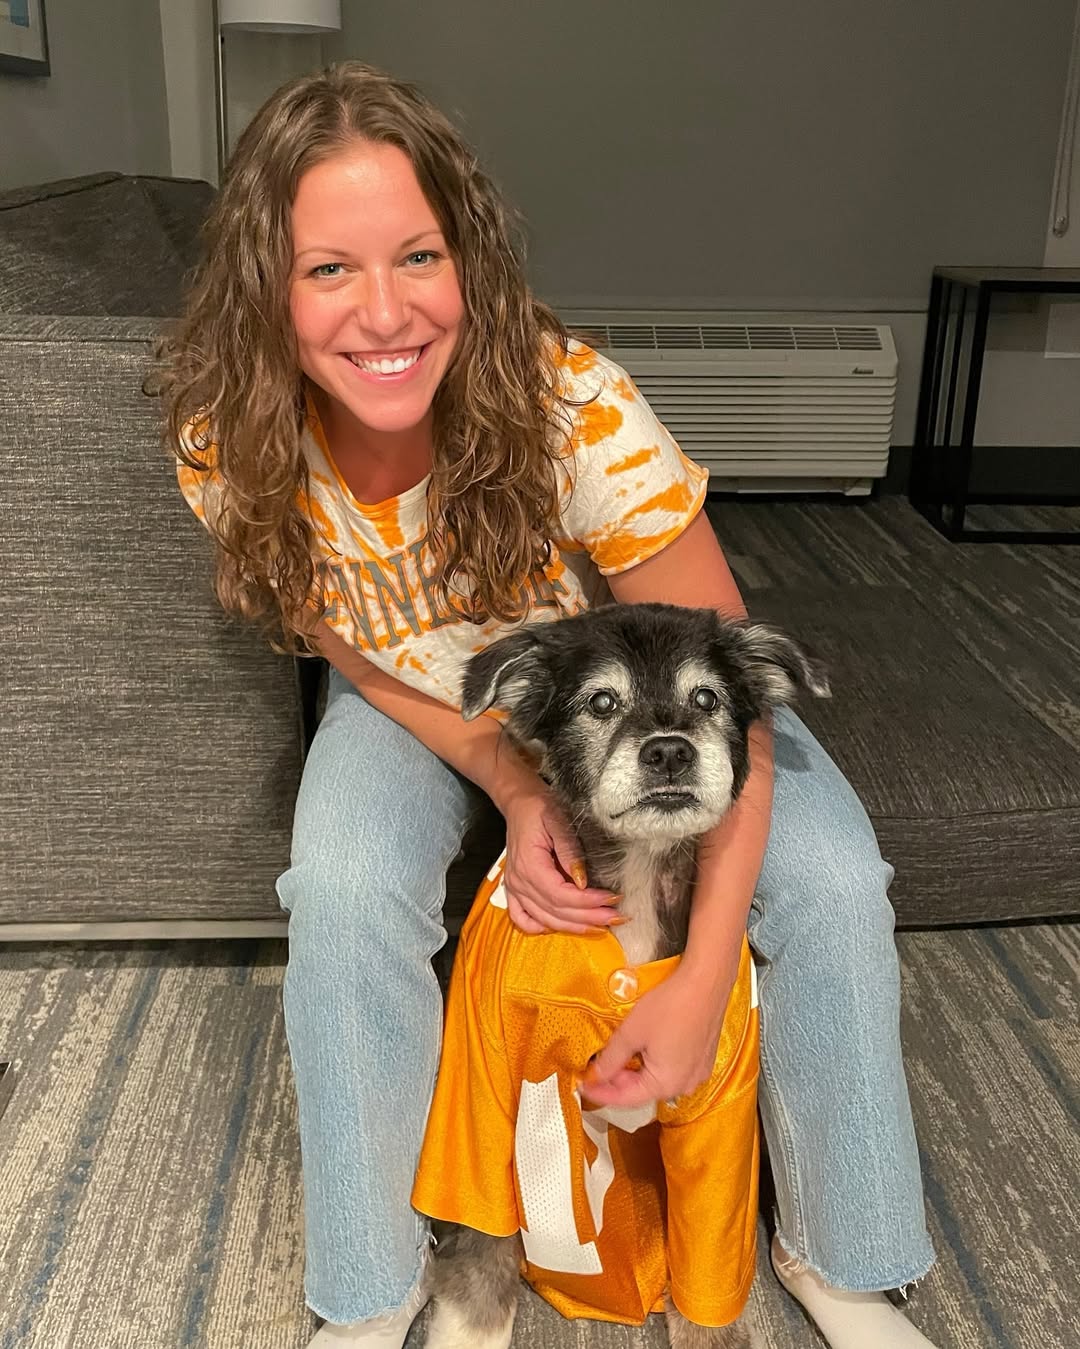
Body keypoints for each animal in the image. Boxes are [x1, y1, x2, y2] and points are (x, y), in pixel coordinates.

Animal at [423, 604, 825, 1349]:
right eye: (601, 702)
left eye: (708, 698)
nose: (669, 751)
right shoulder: (481, 1097)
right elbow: (481, 1249)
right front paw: (468, 1328)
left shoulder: (719, 1121)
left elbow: (707, 1276)